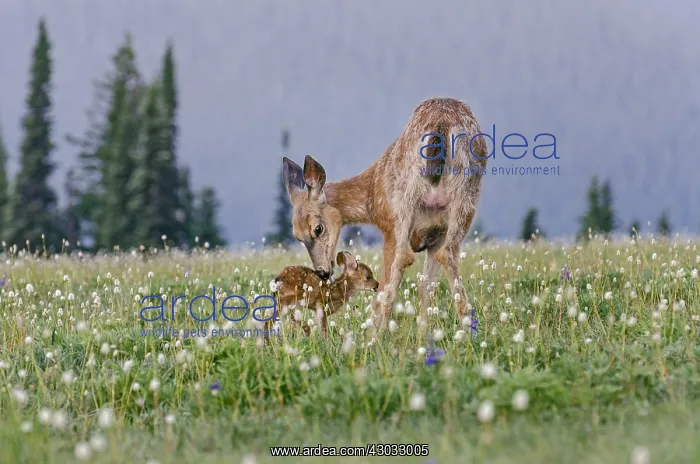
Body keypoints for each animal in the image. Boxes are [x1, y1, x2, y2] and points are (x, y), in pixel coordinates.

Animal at [281, 97, 488, 330]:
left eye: (318, 228)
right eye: (297, 236)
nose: (322, 272)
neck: (371, 197)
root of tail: (442, 123)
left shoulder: (389, 226)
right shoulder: (436, 236)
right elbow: (425, 288)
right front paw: (423, 335)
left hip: (405, 204)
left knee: (401, 262)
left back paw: (376, 335)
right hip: (465, 200)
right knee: (447, 256)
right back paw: (468, 329)